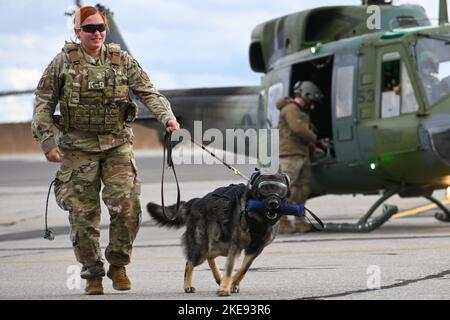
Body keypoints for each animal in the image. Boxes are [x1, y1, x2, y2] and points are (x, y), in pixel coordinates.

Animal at [146, 171, 290, 296]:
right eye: (263, 189)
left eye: (280, 189)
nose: (273, 203)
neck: (257, 219)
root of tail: (196, 201)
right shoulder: (235, 246)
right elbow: (230, 269)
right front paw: (225, 288)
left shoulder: (255, 250)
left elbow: (243, 269)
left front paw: (232, 284)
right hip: (202, 249)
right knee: (190, 263)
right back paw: (188, 285)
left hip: (220, 245)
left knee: (210, 256)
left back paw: (218, 278)